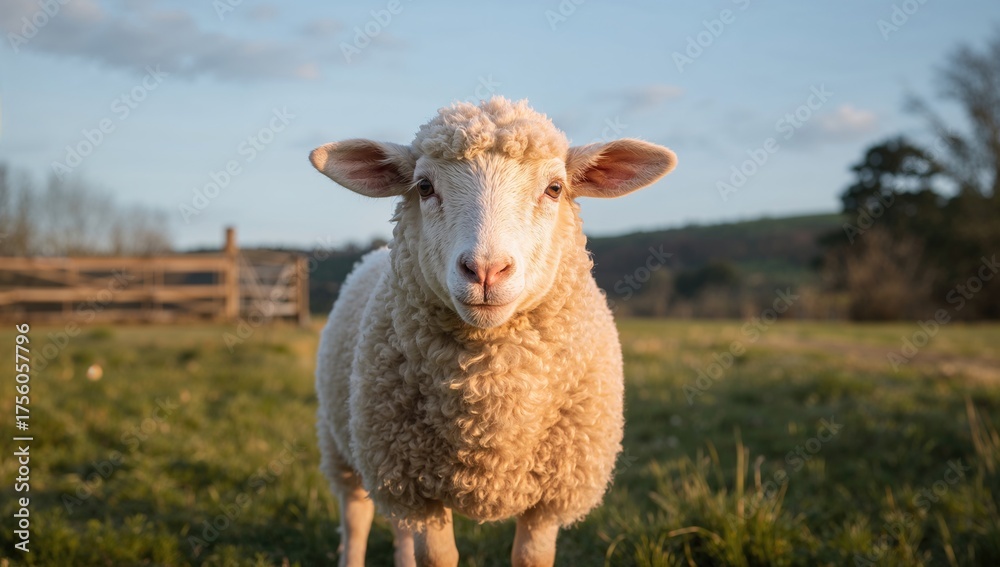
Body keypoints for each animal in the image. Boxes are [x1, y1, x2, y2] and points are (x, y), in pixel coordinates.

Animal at [310, 96, 676, 567]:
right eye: (424, 187)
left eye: (554, 189)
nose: (486, 270)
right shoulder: (418, 488)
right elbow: (438, 558)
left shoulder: (551, 495)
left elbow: (530, 558)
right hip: (348, 446)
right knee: (356, 516)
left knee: (399, 527)